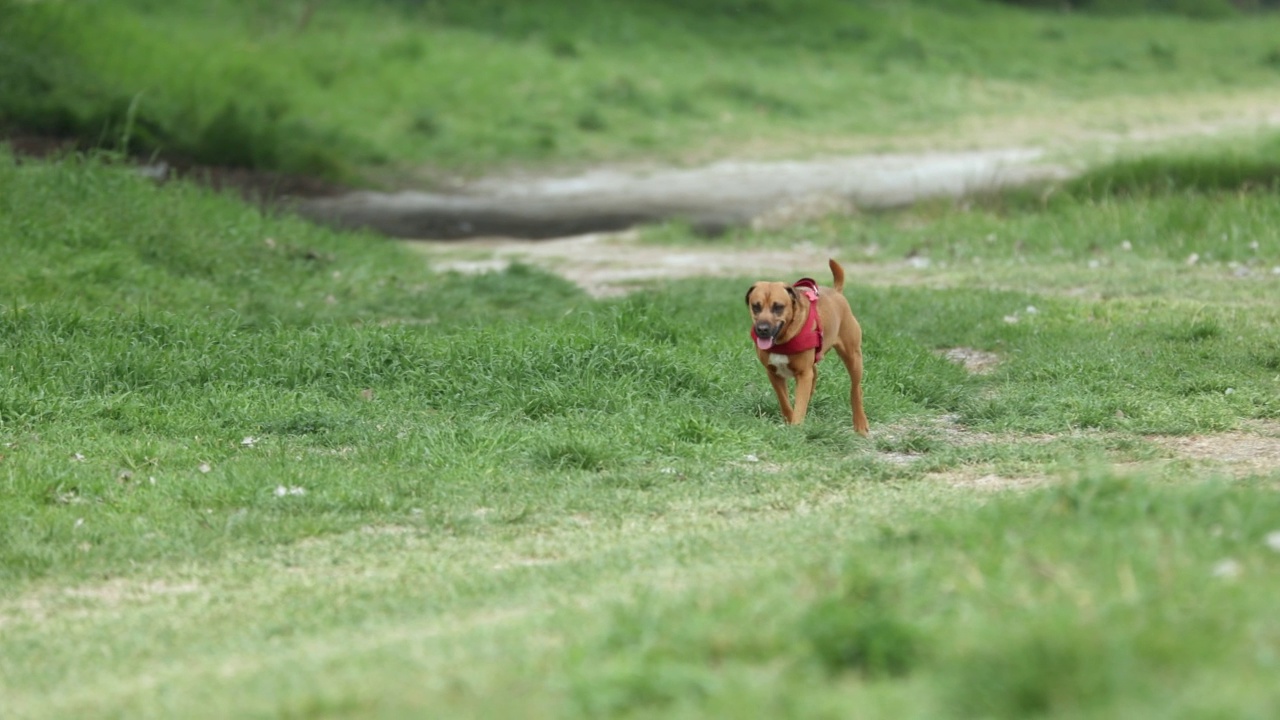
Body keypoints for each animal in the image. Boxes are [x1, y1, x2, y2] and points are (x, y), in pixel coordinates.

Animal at [747, 260, 865, 435]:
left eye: (778, 307)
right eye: (756, 306)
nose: (762, 329)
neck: (783, 339)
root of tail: (837, 293)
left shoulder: (803, 375)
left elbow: (799, 403)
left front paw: (795, 427)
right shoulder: (773, 373)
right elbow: (784, 401)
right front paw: (790, 420)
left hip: (853, 356)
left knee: (855, 389)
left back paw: (861, 424)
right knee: (814, 374)